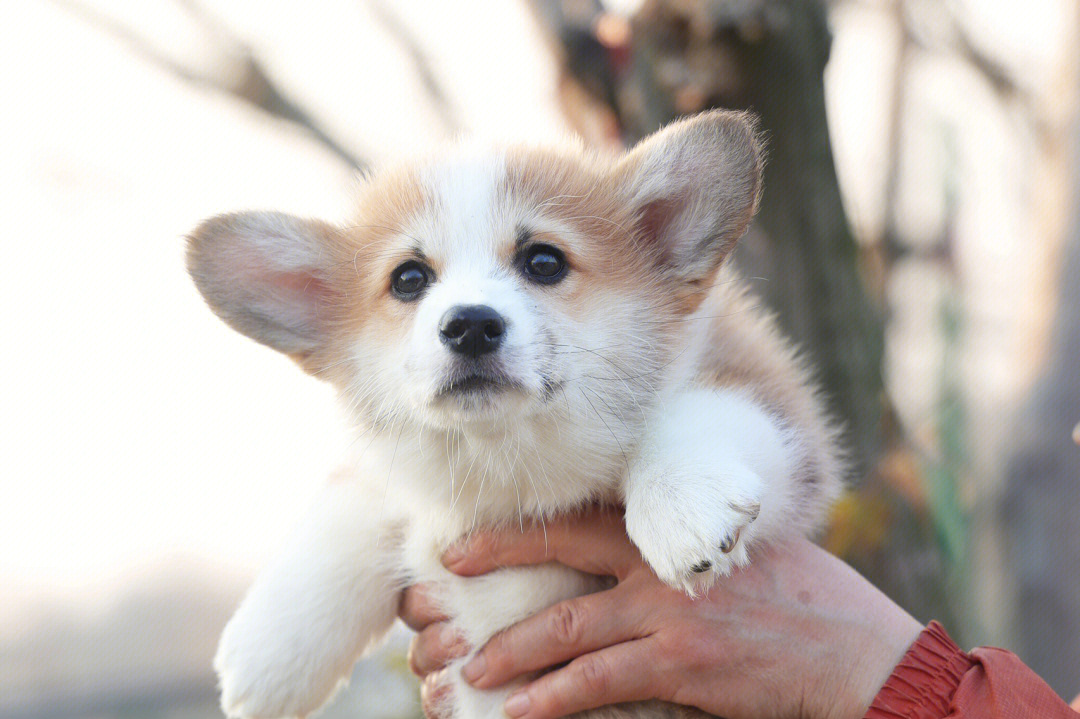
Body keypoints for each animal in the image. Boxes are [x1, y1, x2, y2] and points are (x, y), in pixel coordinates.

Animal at [185, 107, 842, 716]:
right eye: (408, 279)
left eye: (544, 262)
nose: (470, 325)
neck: (509, 467)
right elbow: (353, 506)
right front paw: (269, 654)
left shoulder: (781, 413)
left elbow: (701, 409)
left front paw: (681, 507)